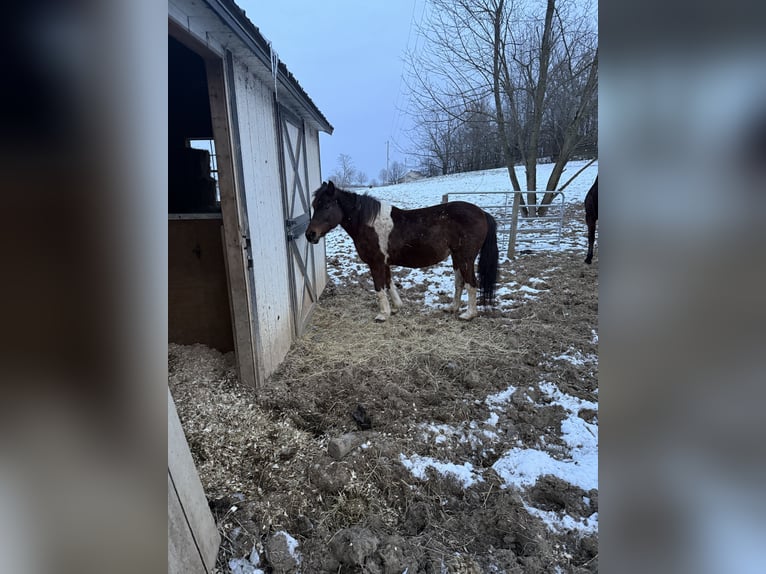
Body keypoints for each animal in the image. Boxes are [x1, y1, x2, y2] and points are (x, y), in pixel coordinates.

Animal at [305, 181, 499, 322]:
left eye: (326, 206)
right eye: (315, 205)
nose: (310, 234)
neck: (369, 223)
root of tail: (482, 213)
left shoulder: (375, 262)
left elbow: (379, 287)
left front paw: (383, 314)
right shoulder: (384, 262)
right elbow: (389, 283)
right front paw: (397, 307)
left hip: (465, 257)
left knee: (471, 283)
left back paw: (468, 314)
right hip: (457, 257)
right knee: (460, 282)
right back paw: (452, 308)